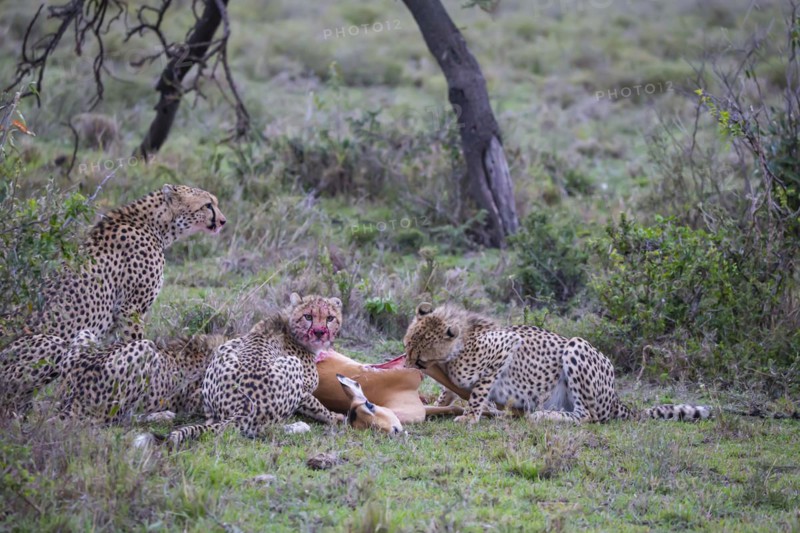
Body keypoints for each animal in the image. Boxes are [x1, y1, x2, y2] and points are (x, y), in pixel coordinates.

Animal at [162, 293, 344, 447]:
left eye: (330, 318)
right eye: (308, 316)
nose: (319, 332)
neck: (289, 326)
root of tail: (242, 408)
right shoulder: (304, 391)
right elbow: (316, 404)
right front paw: (334, 417)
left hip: (223, 350)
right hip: (291, 364)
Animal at [403, 302, 712, 425]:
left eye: (419, 356)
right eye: (406, 345)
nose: (406, 365)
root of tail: (616, 400)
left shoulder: (506, 345)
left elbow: (479, 389)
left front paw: (469, 416)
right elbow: (449, 391)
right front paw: (440, 403)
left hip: (576, 345)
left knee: (587, 416)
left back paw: (542, 415)